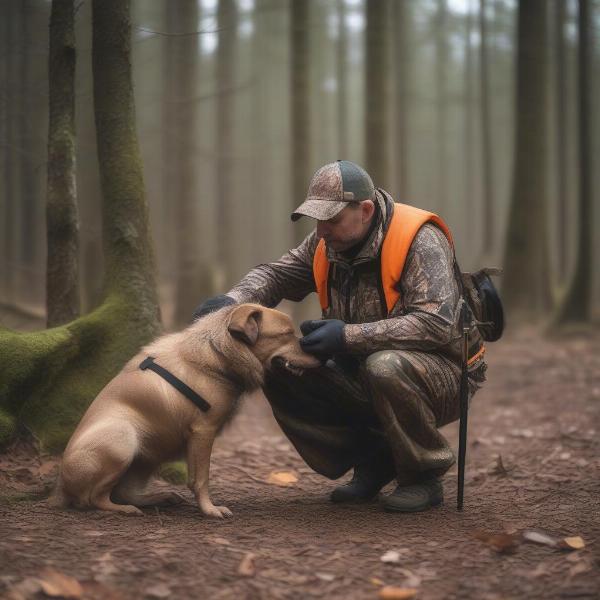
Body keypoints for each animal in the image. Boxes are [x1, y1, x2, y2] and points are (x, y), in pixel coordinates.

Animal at [52, 304, 318, 516]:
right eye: (286, 334)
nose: (319, 356)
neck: (217, 354)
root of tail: (62, 487)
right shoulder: (203, 431)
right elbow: (200, 479)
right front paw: (209, 509)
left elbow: (195, 478)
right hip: (122, 438)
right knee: (94, 498)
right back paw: (125, 509)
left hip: (146, 456)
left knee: (124, 492)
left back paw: (159, 497)